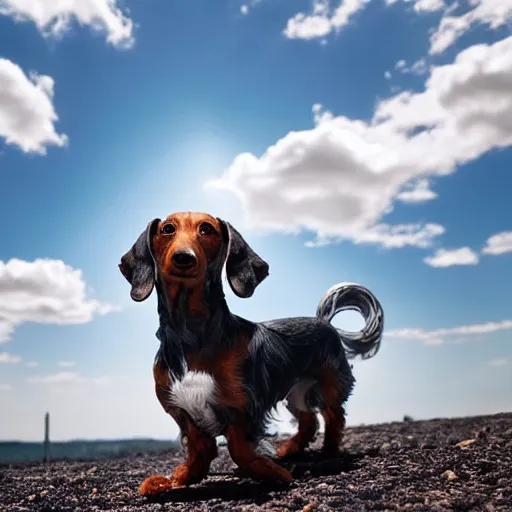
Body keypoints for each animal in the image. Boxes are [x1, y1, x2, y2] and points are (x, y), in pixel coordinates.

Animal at [119, 211, 384, 496]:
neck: (190, 335)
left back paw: (328, 451)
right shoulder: (186, 411)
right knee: (309, 419)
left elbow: (239, 449)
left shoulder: (243, 407)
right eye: (167, 229)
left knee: (334, 416)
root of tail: (324, 322)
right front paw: (178, 479)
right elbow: (201, 450)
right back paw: (290, 450)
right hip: (296, 391)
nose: (183, 257)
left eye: (207, 229)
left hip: (329, 385)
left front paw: (273, 473)